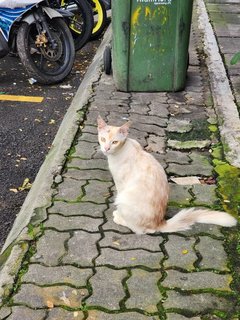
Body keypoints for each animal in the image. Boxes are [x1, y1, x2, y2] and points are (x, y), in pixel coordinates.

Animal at [96, 116, 237, 234]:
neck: (123, 149)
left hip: (124, 197)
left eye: (114, 142)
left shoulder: (120, 183)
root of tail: (158, 223)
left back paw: (120, 218)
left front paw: (118, 214)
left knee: (139, 229)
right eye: (103, 139)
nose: (106, 148)